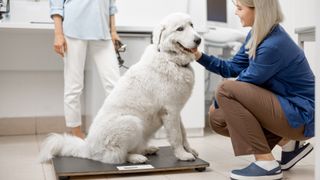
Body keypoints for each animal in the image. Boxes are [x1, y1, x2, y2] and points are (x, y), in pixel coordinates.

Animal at [38, 12, 201, 165]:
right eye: (180, 29)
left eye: (191, 25)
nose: (199, 39)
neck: (170, 59)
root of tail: (87, 148)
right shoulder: (170, 111)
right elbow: (176, 136)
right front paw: (183, 155)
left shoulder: (176, 111)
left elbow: (184, 133)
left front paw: (189, 150)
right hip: (131, 122)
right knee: (116, 156)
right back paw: (136, 158)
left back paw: (147, 149)